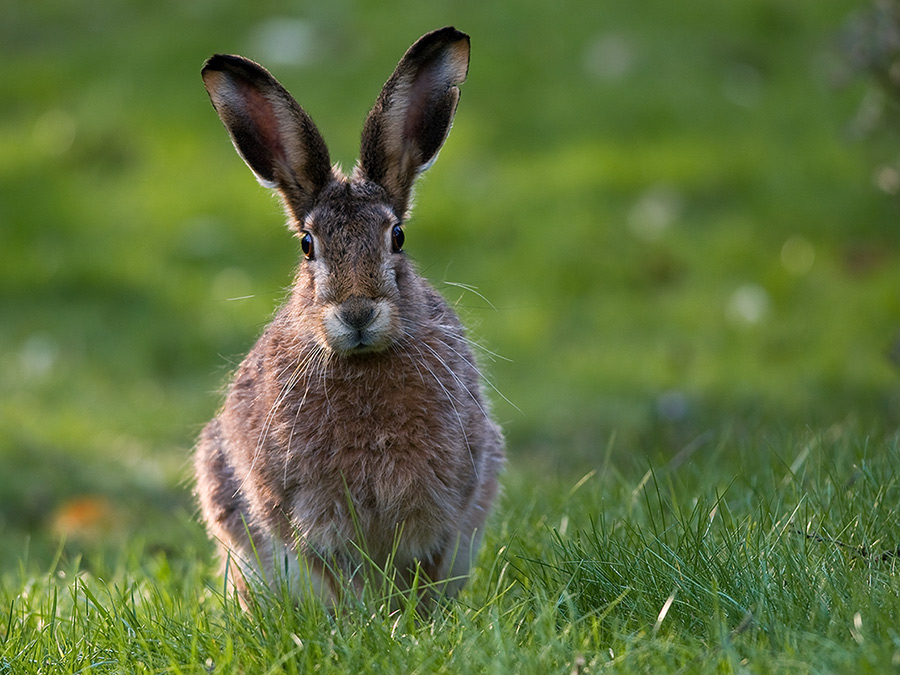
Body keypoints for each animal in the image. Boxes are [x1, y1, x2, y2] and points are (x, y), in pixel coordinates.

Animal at [193, 26, 505, 607]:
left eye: (397, 237)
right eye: (307, 245)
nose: (357, 313)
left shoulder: (446, 508)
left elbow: (422, 571)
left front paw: (414, 621)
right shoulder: (304, 517)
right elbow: (339, 578)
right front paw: (367, 621)